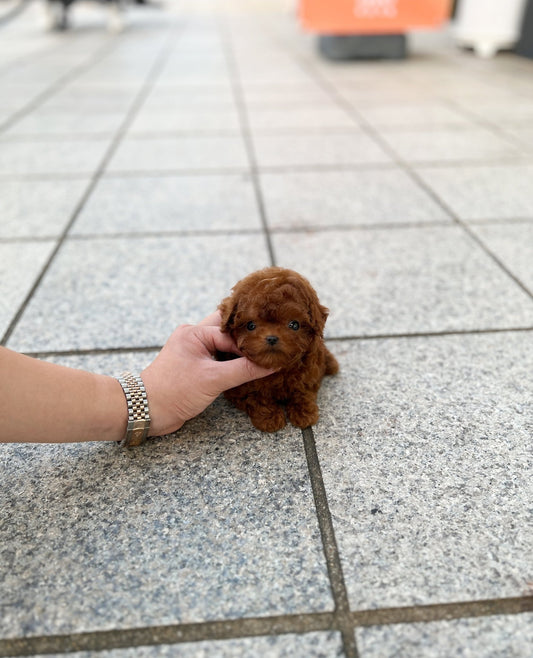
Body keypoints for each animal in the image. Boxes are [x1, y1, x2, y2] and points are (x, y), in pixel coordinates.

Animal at [218, 266, 338, 430]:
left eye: (294, 325)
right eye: (250, 325)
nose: (272, 338)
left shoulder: (309, 373)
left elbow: (303, 391)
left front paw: (304, 413)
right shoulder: (238, 389)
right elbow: (256, 398)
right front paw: (269, 418)